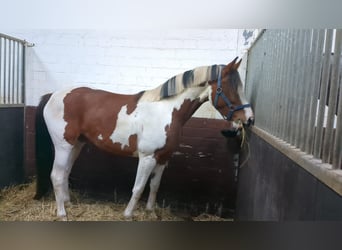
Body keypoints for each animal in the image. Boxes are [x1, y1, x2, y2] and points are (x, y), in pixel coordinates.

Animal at [34, 56, 254, 219]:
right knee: (56, 175)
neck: (167, 112)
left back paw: (68, 203)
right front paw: (128, 214)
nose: (249, 119)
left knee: (65, 173)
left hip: (76, 145)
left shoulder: (163, 158)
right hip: (63, 145)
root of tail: (52, 95)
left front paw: (151, 212)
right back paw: (62, 214)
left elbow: (154, 186)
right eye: (230, 89)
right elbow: (138, 188)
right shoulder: (147, 157)